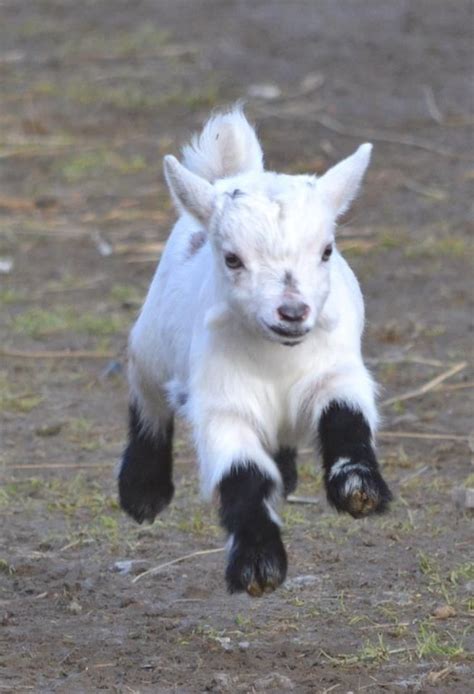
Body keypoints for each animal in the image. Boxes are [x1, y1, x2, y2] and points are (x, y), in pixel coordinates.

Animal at [119, 107, 392, 600]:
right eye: (232, 259)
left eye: (326, 251)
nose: (292, 312)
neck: (278, 356)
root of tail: (236, 171)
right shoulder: (221, 405)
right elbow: (242, 472)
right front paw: (257, 564)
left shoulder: (337, 372)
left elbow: (346, 417)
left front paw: (358, 488)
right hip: (151, 343)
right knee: (146, 395)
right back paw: (142, 491)